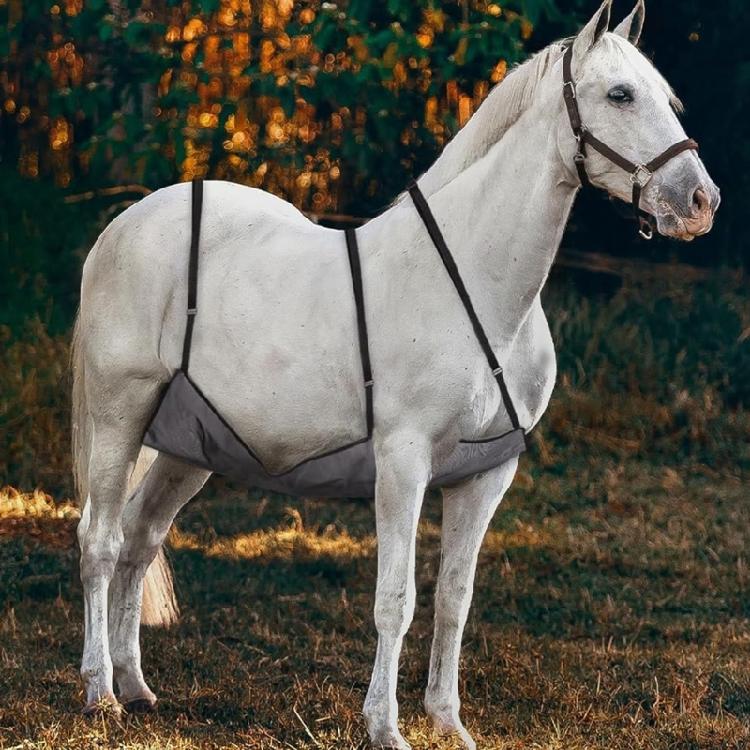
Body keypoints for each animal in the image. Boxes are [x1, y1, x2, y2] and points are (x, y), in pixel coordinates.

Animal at [71, 1, 719, 747]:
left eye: (668, 98)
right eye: (619, 94)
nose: (701, 201)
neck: (478, 287)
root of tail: (122, 225)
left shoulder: (486, 474)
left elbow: (455, 600)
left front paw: (448, 721)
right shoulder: (403, 461)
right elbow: (396, 600)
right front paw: (385, 725)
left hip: (188, 446)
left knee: (140, 540)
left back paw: (137, 685)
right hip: (120, 417)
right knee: (100, 539)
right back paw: (100, 691)